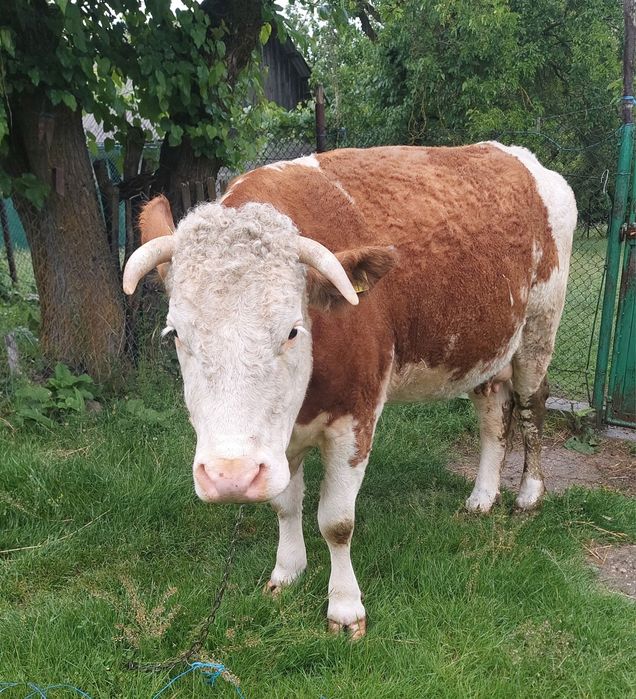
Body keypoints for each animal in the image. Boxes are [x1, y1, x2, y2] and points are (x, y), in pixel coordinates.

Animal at [123, 143, 577, 639]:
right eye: (175, 334)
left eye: (292, 330)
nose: (231, 477)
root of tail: (518, 156)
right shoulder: (282, 437)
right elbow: (286, 505)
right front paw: (287, 572)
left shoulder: (356, 418)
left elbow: (336, 521)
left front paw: (344, 608)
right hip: (484, 346)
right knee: (494, 414)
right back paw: (482, 497)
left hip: (538, 330)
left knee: (532, 405)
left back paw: (528, 493)